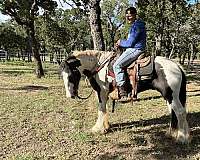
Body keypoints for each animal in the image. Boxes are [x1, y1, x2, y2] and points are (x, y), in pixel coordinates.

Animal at [60, 49, 190, 144]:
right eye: (63, 75)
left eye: (70, 76)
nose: (70, 95)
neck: (98, 66)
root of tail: (176, 66)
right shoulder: (102, 93)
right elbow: (104, 109)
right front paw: (106, 126)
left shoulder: (102, 92)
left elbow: (101, 110)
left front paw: (97, 129)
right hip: (169, 97)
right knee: (174, 112)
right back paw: (173, 134)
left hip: (171, 95)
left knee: (180, 112)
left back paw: (182, 138)